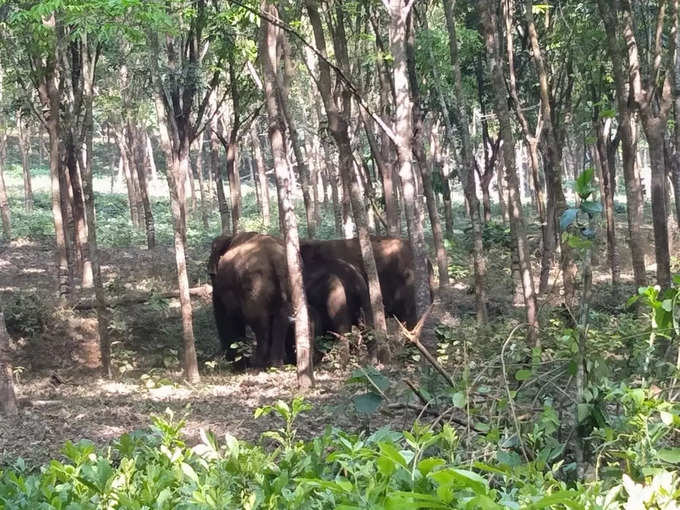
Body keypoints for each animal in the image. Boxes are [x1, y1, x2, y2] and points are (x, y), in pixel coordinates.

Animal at [210, 231, 290, 366]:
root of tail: (276, 258)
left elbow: (227, 316)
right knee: (281, 318)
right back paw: (276, 363)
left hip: (254, 284)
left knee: (258, 320)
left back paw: (257, 362)